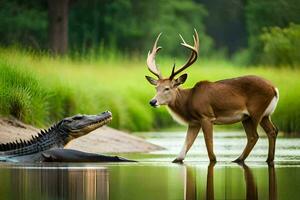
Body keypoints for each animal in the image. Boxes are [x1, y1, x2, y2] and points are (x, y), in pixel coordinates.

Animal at [145, 29, 278, 164]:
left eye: (167, 88)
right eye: (156, 88)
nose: (152, 101)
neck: (189, 100)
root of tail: (274, 89)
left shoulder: (206, 117)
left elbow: (210, 150)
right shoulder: (194, 122)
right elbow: (181, 154)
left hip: (255, 112)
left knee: (254, 136)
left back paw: (238, 160)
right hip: (258, 116)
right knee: (272, 131)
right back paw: (267, 159)